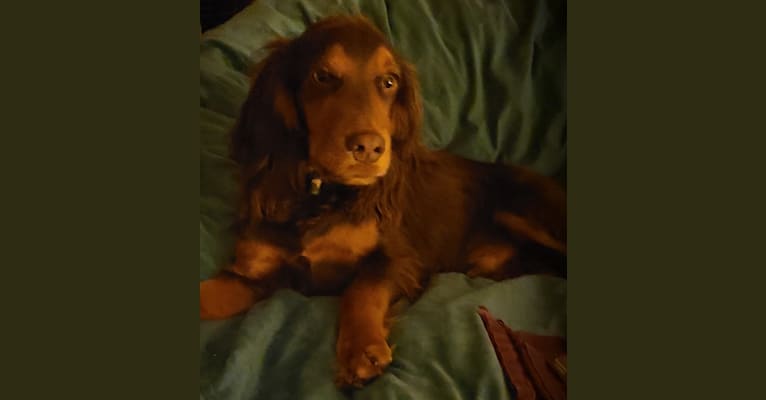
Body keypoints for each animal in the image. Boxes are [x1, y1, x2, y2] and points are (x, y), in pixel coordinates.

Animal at [201, 15, 568, 388]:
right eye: (323, 76)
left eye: (389, 82)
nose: (369, 148)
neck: (323, 195)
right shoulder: (253, 273)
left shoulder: (398, 258)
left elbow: (362, 288)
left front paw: (361, 350)